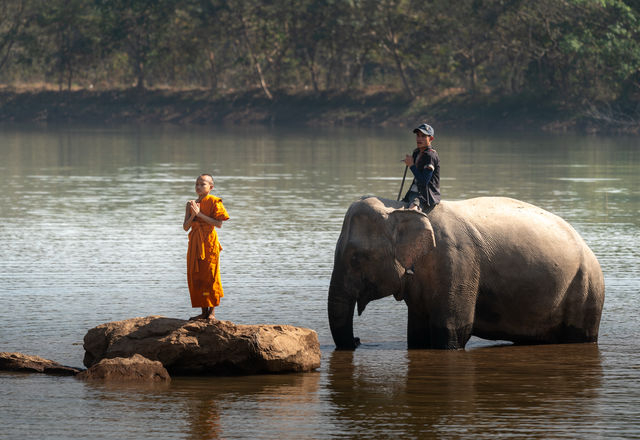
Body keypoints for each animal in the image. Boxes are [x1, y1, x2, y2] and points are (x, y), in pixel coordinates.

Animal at [330, 198, 604, 348]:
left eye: (356, 258)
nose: (359, 341)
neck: (401, 208)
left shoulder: (457, 261)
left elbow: (452, 330)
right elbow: (417, 334)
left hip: (586, 290)